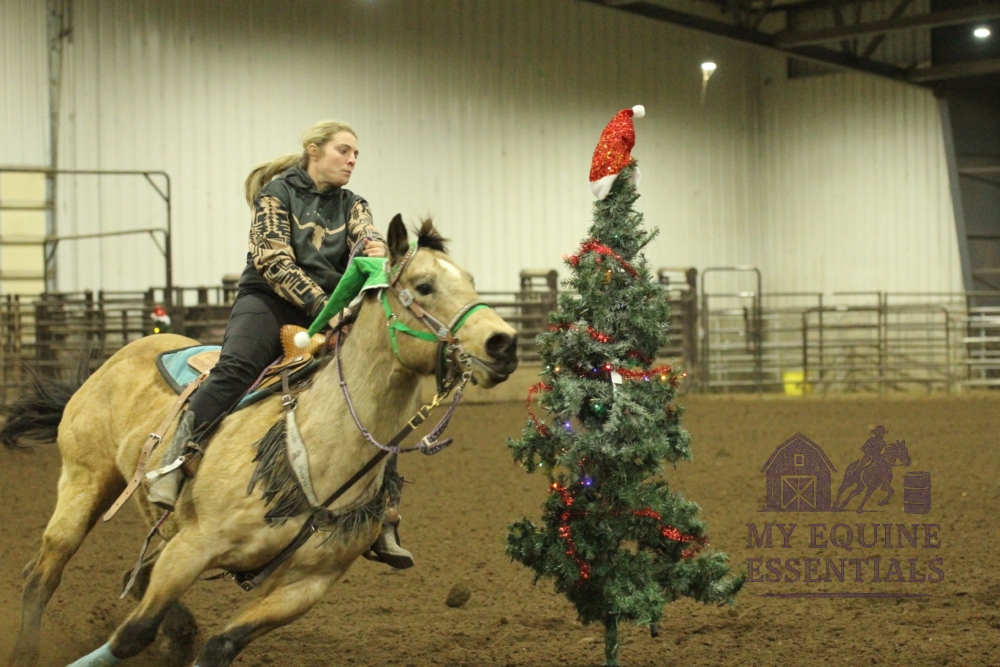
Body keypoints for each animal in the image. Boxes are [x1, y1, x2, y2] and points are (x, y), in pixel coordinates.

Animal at [3, 216, 519, 667]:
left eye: (471, 280)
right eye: (425, 285)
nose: (504, 343)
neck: (317, 450)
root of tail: (111, 362)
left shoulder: (304, 587)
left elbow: (220, 646)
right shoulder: (194, 546)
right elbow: (133, 633)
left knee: (140, 573)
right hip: (85, 481)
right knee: (43, 573)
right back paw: (26, 648)